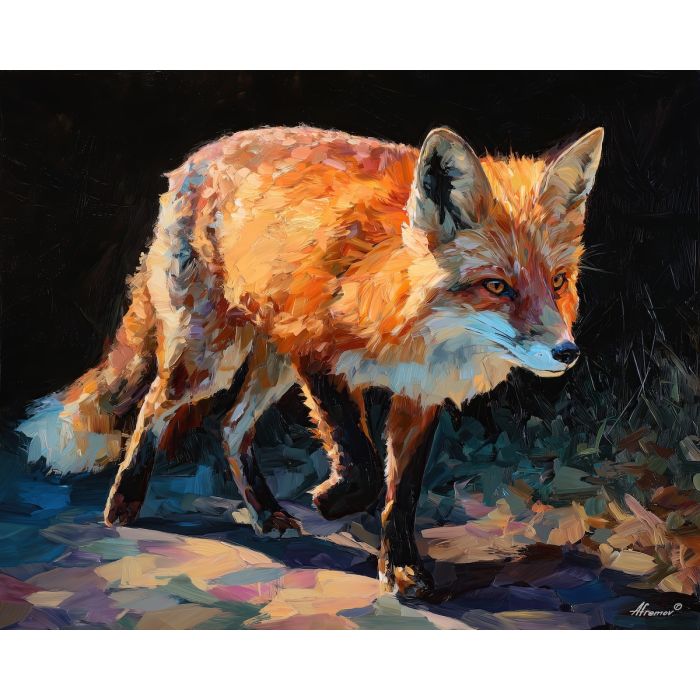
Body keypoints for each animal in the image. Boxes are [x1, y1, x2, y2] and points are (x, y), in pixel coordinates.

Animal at [19, 124, 603, 598]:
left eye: (557, 282)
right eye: (497, 286)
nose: (567, 352)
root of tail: (193, 160)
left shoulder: (419, 393)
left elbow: (402, 492)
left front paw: (400, 567)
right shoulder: (315, 352)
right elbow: (362, 462)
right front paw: (332, 503)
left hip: (268, 368)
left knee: (229, 428)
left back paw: (264, 512)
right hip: (210, 359)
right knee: (152, 411)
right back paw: (123, 504)